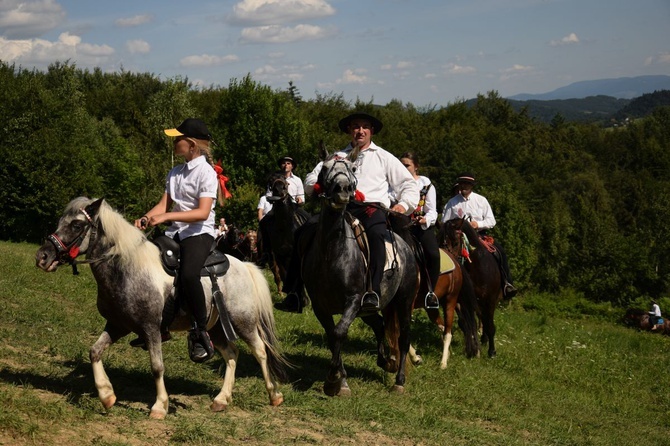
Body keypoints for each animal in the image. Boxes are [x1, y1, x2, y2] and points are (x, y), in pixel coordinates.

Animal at [36, 198, 288, 418]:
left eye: (77, 224)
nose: (42, 257)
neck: (127, 269)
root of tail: (245, 266)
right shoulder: (118, 325)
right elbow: (94, 351)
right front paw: (107, 395)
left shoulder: (151, 329)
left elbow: (157, 366)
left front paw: (159, 406)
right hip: (215, 327)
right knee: (232, 354)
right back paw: (221, 399)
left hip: (243, 322)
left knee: (260, 351)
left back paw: (274, 394)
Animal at [440, 218, 504, 358]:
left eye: (456, 242)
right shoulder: (461, 300)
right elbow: (466, 323)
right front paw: (472, 349)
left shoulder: (490, 300)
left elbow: (490, 325)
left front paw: (492, 352)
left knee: (485, 319)